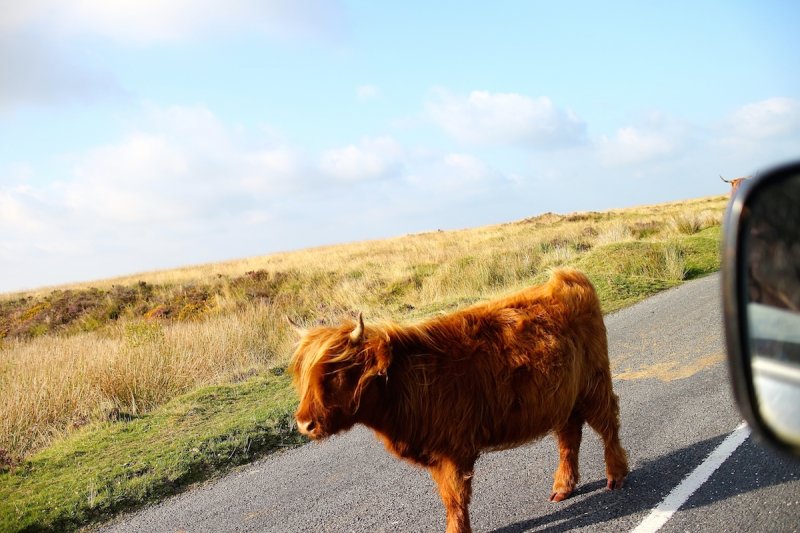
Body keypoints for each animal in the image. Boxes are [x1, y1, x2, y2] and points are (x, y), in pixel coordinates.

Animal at [290, 270, 628, 532]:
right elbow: (448, 499)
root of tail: (567, 277)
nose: (304, 424)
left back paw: (616, 475)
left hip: (594, 382)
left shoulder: (453, 451)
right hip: (562, 397)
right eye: (303, 378)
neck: (405, 385)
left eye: (335, 374)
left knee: (608, 423)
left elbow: (455, 499)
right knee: (569, 435)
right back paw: (562, 487)